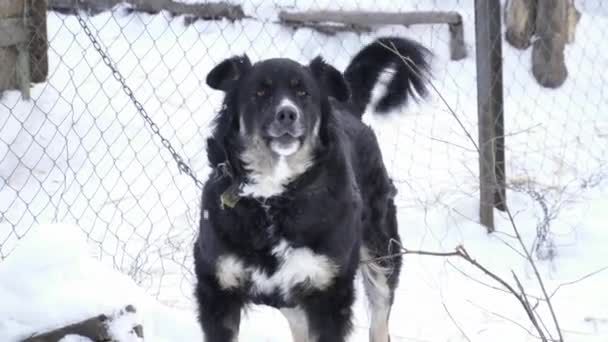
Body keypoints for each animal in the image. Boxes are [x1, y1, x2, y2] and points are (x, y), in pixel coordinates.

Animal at [194, 37, 428, 342]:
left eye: (303, 92)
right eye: (260, 91)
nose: (287, 114)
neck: (273, 197)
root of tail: (346, 107)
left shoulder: (328, 292)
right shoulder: (218, 288)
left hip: (381, 252)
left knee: (380, 320)